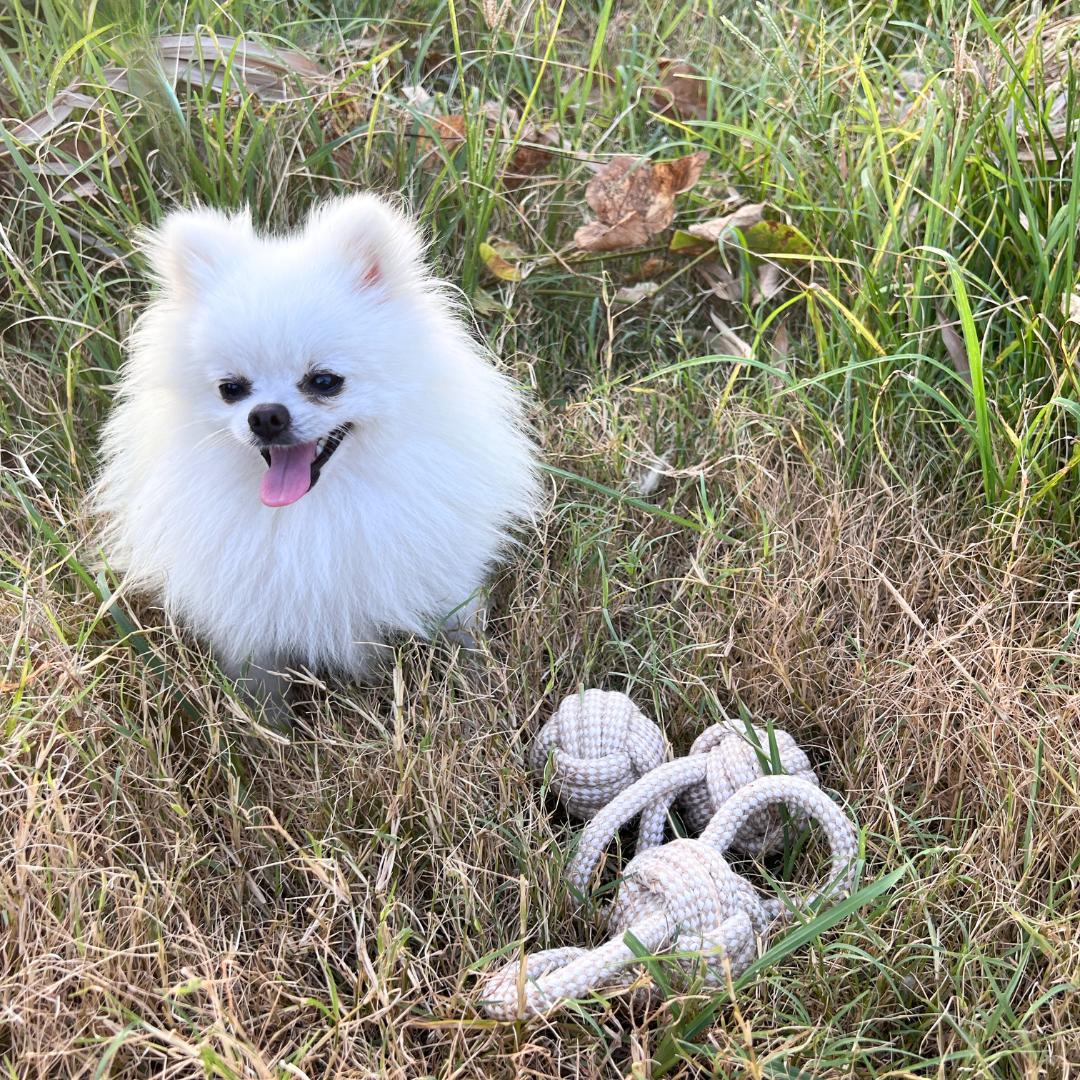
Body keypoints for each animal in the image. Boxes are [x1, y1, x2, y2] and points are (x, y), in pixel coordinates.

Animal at [92, 196, 540, 717]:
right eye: (231, 389)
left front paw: (480, 686)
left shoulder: (444, 579)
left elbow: (464, 636)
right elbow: (261, 690)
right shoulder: (248, 625)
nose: (266, 416)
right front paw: (268, 730)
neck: (313, 511)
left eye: (325, 381)